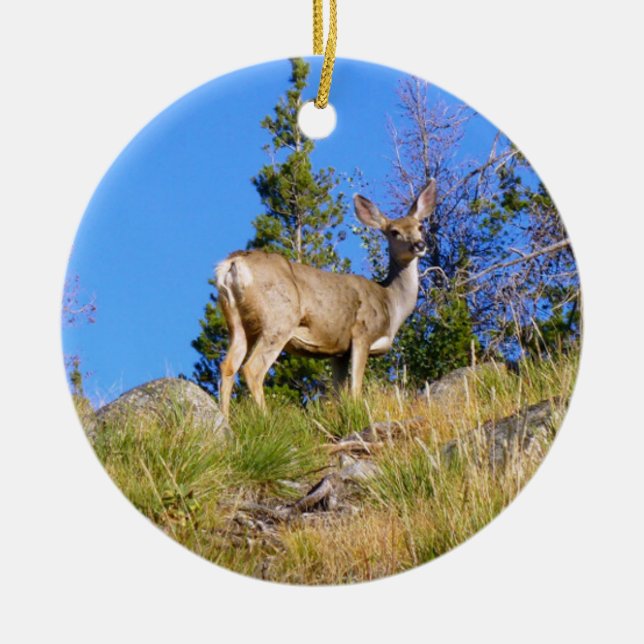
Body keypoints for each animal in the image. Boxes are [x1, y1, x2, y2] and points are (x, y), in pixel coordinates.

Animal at [215, 179, 437, 418]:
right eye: (394, 232)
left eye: (420, 227)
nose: (420, 245)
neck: (390, 301)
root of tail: (233, 264)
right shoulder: (362, 333)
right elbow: (355, 389)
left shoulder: (338, 351)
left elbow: (339, 393)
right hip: (279, 319)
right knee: (252, 368)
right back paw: (265, 418)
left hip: (237, 321)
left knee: (227, 366)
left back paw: (225, 420)